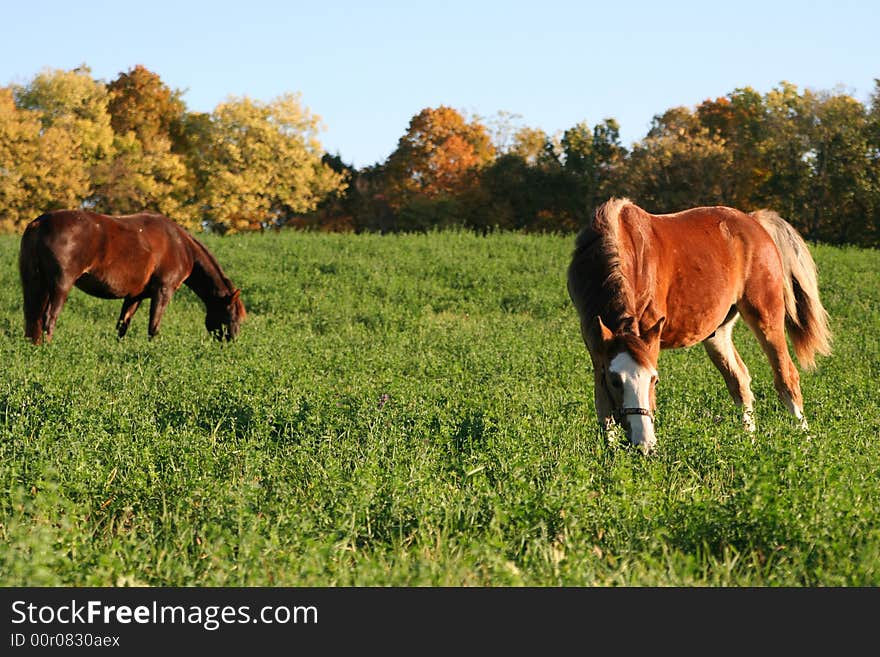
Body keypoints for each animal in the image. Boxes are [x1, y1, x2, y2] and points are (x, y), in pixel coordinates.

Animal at [18, 209, 246, 344]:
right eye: (233, 316)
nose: (232, 342)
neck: (181, 245)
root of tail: (39, 223)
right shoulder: (163, 291)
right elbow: (153, 326)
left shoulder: (135, 296)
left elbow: (122, 325)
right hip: (60, 286)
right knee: (49, 318)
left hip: (37, 285)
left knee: (33, 318)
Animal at [568, 195, 828, 452]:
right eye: (615, 381)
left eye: (654, 379)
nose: (645, 445)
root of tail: (754, 221)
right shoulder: (596, 344)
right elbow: (603, 404)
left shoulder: (649, 337)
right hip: (718, 333)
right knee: (740, 381)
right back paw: (749, 443)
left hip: (767, 317)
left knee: (786, 377)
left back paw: (804, 443)